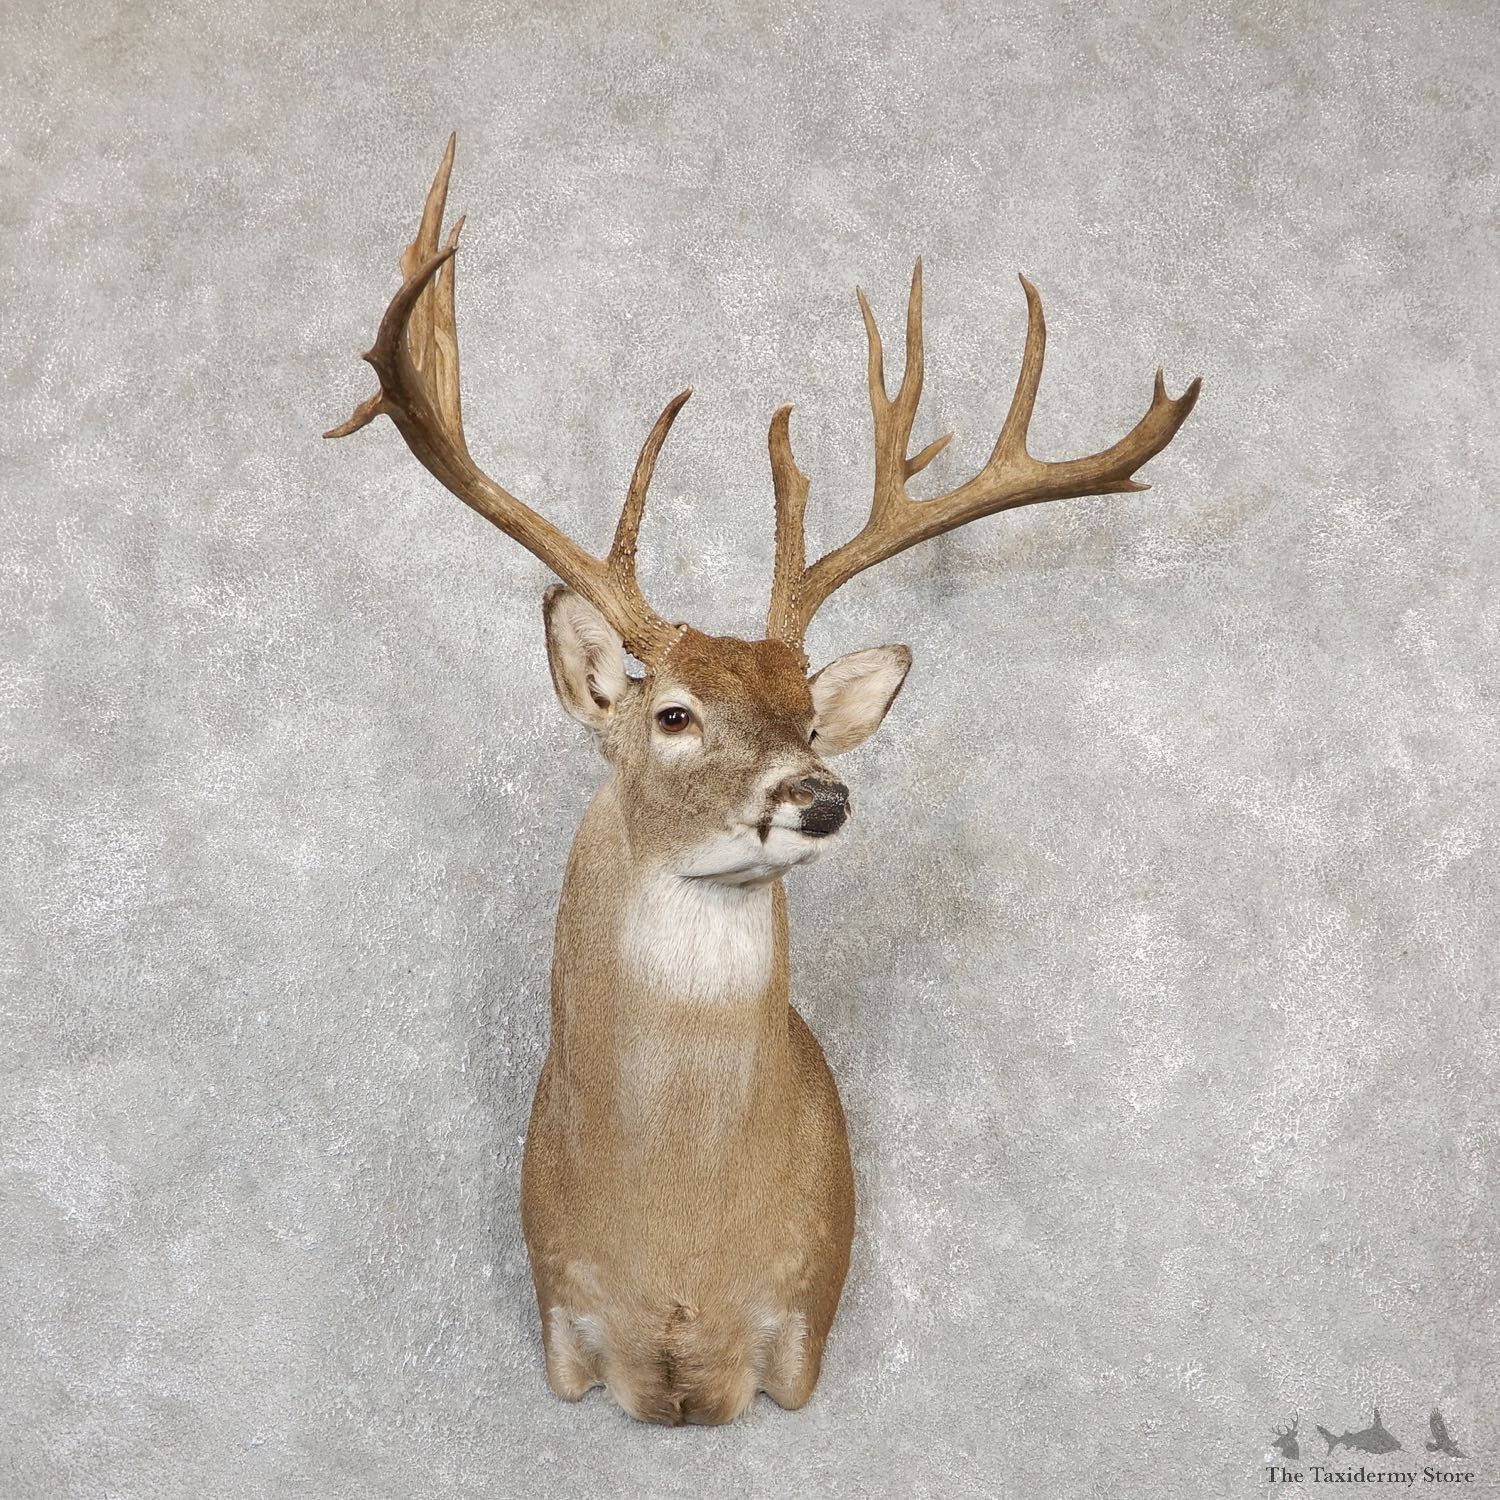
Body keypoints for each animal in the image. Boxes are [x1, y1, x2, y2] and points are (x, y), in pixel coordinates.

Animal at [326, 136, 1200, 1426]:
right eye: (675, 713)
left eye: (810, 716)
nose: (821, 796)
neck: (681, 1252)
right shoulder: (564, 1320)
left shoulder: (799, 1330)